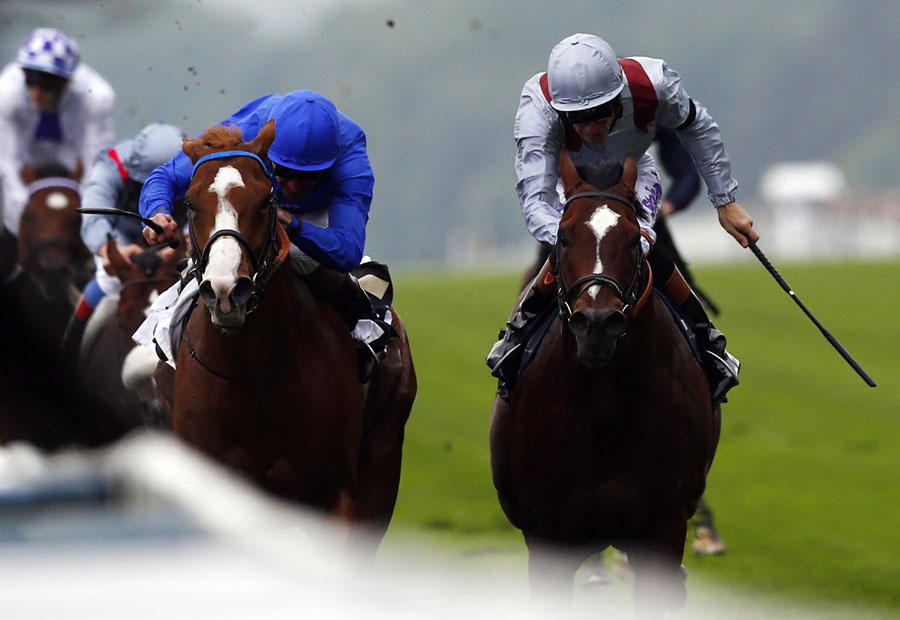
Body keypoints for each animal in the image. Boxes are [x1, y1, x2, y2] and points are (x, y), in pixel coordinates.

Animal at [168, 120, 414, 544]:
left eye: (265, 201)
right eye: (189, 203)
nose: (226, 291)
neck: (254, 373)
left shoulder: (335, 495)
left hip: (383, 455)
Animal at [488, 156, 720, 616]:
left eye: (633, 241)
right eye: (562, 238)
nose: (597, 324)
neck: (604, 410)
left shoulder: (662, 528)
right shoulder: (549, 534)